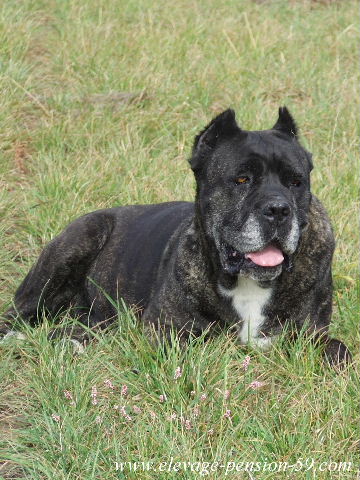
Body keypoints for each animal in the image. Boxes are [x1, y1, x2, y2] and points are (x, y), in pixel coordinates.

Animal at [0, 107, 348, 366]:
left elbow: (339, 351)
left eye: (296, 182)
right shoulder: (166, 331)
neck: (247, 283)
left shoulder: (313, 333)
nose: (278, 209)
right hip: (77, 241)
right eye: (241, 179)